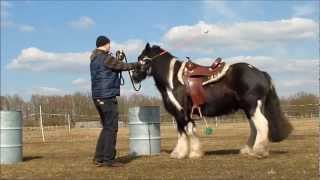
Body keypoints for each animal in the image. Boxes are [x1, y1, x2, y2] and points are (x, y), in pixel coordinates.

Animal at [132, 43, 292, 158]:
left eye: (143, 60)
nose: (134, 77)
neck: (172, 80)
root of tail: (261, 73)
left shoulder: (181, 113)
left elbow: (186, 132)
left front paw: (184, 154)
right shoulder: (183, 114)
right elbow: (186, 132)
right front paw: (191, 152)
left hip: (253, 106)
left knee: (262, 125)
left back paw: (259, 151)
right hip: (250, 109)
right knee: (254, 127)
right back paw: (247, 150)